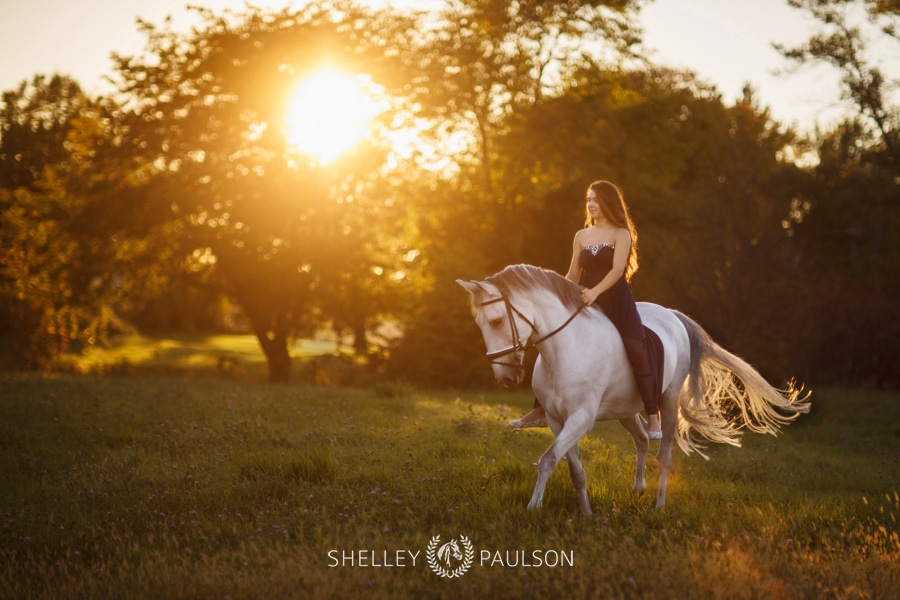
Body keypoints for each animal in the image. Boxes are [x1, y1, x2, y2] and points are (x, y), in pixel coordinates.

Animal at [458, 264, 808, 512]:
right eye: (480, 324)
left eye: (496, 321)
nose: (505, 378)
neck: (565, 347)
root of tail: (673, 315)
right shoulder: (559, 422)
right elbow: (573, 468)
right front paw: (585, 513)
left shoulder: (580, 420)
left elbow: (547, 459)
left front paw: (533, 507)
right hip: (625, 410)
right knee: (640, 438)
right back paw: (638, 489)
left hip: (667, 404)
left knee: (663, 452)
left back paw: (658, 505)